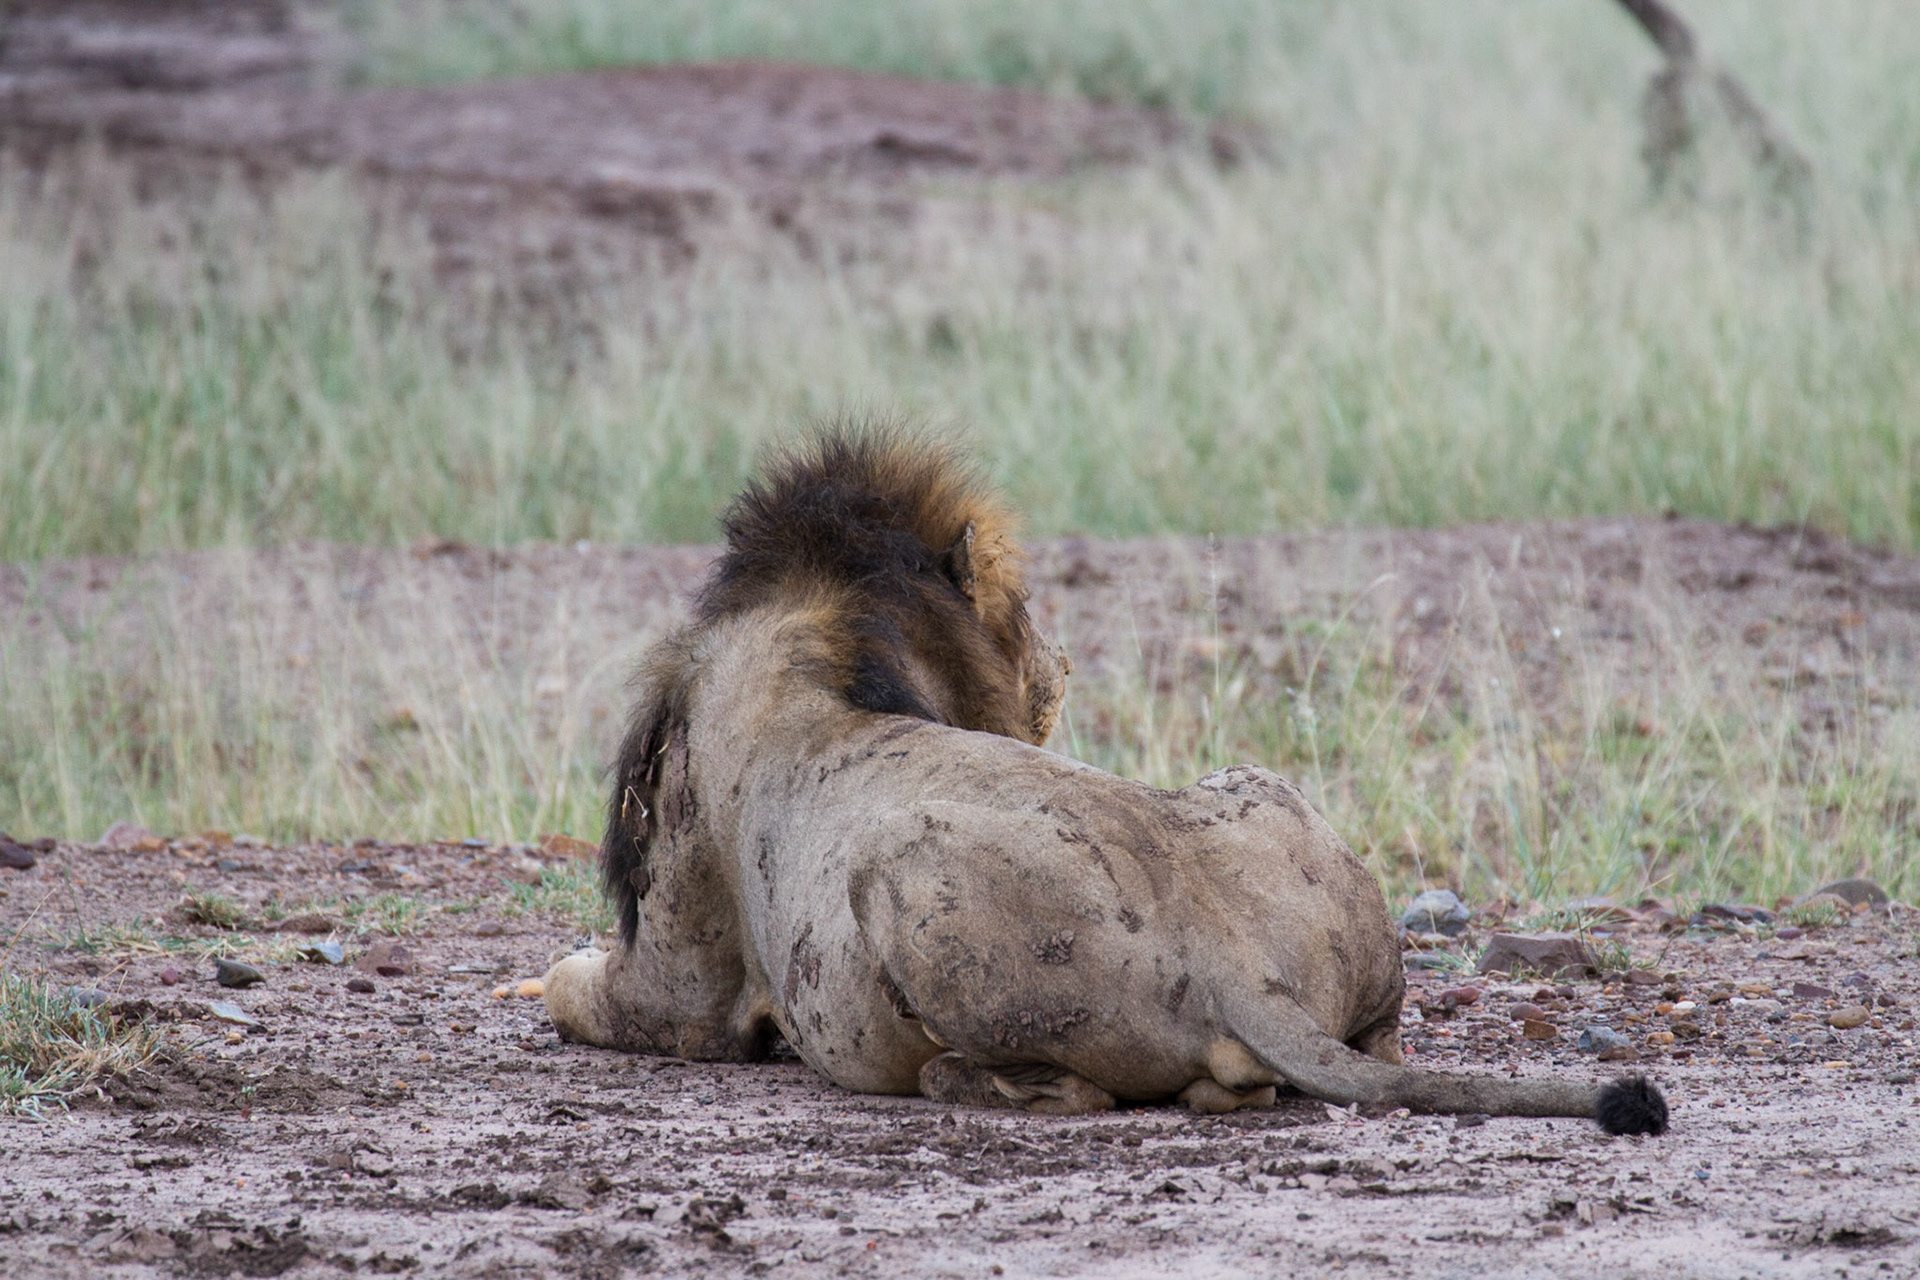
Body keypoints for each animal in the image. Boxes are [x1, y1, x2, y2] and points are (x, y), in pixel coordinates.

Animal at [544, 428, 1667, 1136]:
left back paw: (954, 1076)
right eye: (1029, 608)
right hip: (1265, 793)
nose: (1067, 663)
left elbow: (569, 984)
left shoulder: (681, 987)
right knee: (1364, 1052)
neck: (813, 634)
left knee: (1060, 1086)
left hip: (885, 869)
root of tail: (1231, 961)